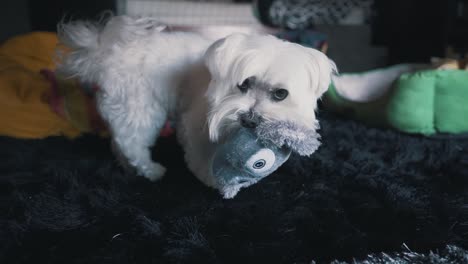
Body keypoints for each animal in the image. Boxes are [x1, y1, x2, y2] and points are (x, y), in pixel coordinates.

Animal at [56, 14, 336, 196]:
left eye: (280, 94)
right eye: (243, 84)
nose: (249, 120)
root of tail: (107, 55)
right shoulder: (195, 122)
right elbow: (202, 154)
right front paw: (213, 179)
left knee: (119, 142)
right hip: (140, 107)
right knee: (132, 142)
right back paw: (151, 170)